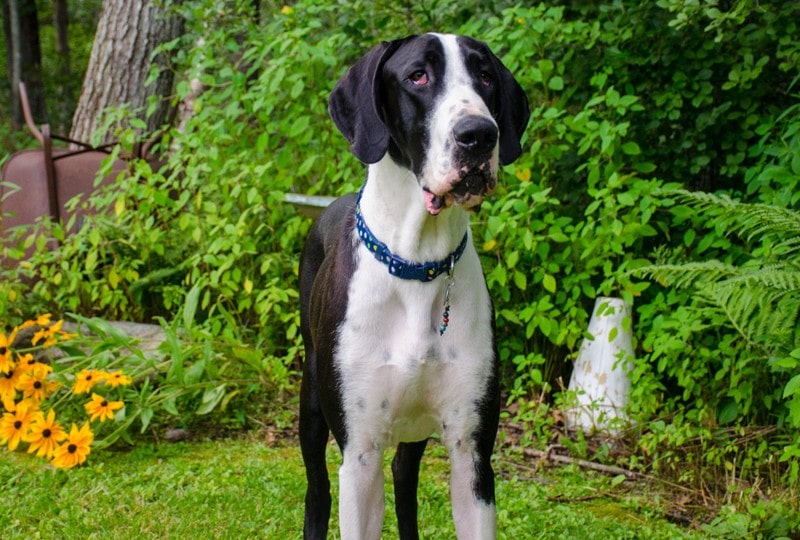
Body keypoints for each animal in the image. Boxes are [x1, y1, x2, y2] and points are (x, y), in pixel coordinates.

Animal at [296, 33, 528, 540]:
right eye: (417, 76)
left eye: (485, 77)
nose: (479, 134)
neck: (418, 263)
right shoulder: (360, 455)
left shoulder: (472, 453)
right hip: (312, 399)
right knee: (317, 489)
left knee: (404, 480)